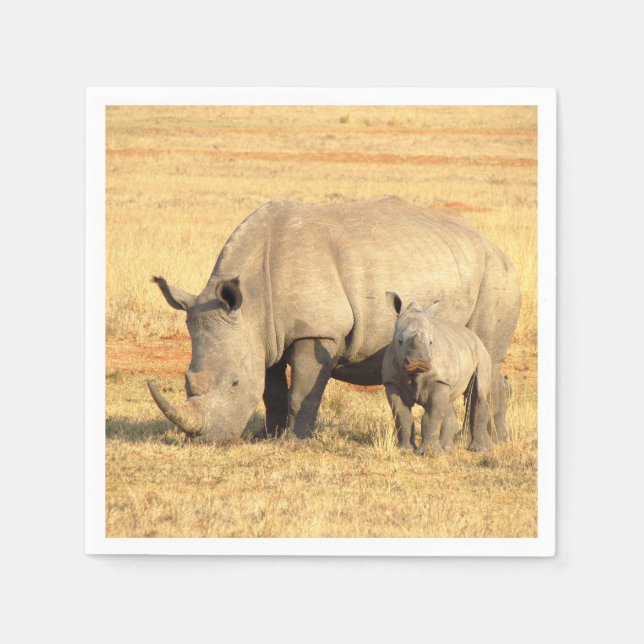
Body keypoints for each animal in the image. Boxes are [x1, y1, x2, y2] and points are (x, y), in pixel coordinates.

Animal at [381, 297, 493, 454]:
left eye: (430, 342)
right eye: (399, 341)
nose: (418, 361)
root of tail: (474, 336)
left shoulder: (439, 380)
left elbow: (432, 415)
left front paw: (429, 453)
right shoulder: (392, 382)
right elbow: (402, 416)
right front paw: (404, 450)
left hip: (482, 354)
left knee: (478, 393)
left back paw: (479, 450)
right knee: (448, 403)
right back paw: (447, 450)